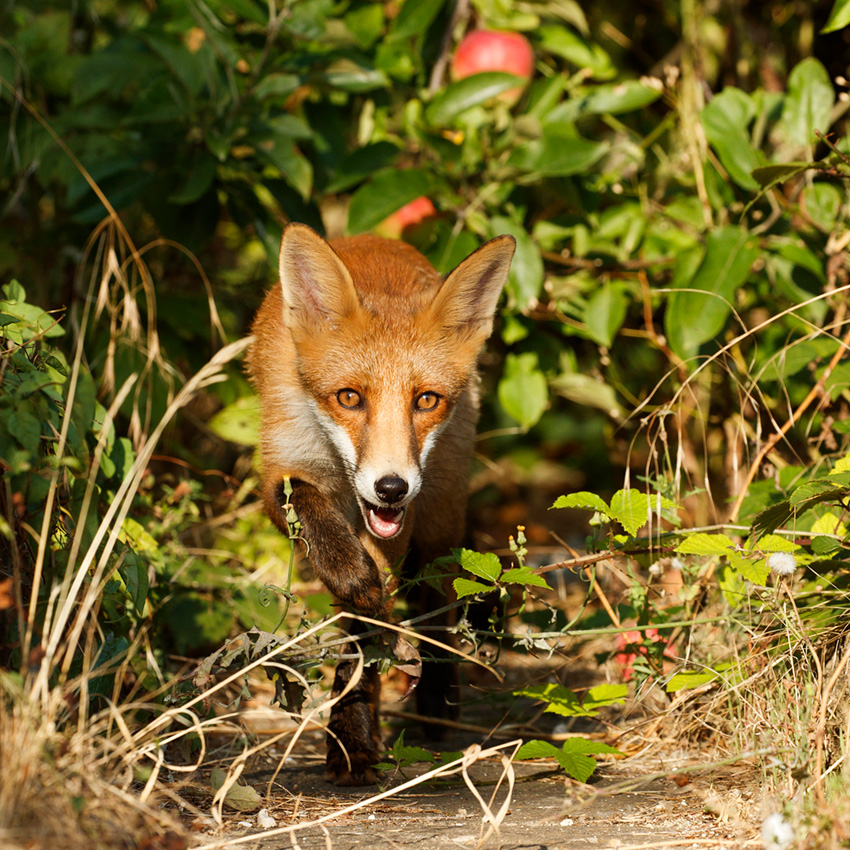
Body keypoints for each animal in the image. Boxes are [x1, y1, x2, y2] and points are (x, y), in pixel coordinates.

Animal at [247, 222, 515, 786]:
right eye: (349, 397)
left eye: (426, 399)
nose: (391, 487)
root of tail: (377, 237)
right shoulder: (279, 467)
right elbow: (307, 507)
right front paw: (346, 569)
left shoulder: (401, 526)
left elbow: (366, 630)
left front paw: (350, 736)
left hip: (440, 515)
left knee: (437, 604)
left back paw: (437, 704)